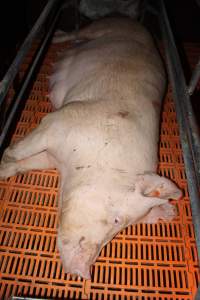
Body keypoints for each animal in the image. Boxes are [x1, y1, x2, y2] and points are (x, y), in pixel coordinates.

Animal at [0, 18, 181, 278]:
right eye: (117, 220)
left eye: (123, 228)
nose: (84, 271)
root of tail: (131, 20)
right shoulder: (60, 121)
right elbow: (18, 151)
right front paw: (5, 157)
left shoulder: (52, 156)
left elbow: (24, 163)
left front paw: (4, 170)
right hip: (103, 25)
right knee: (77, 32)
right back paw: (55, 36)